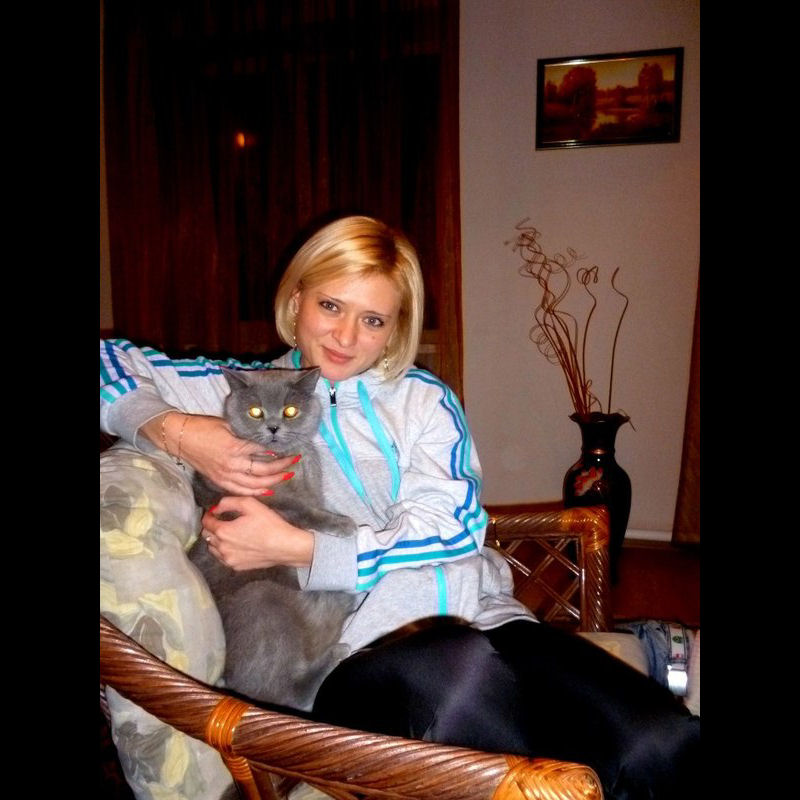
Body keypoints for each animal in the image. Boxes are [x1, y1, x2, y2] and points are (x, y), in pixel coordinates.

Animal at [188, 366, 357, 711]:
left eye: (291, 410)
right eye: (255, 411)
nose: (274, 426)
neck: (288, 458)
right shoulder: (271, 503)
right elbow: (304, 512)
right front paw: (344, 525)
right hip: (260, 598)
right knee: (285, 692)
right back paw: (335, 651)